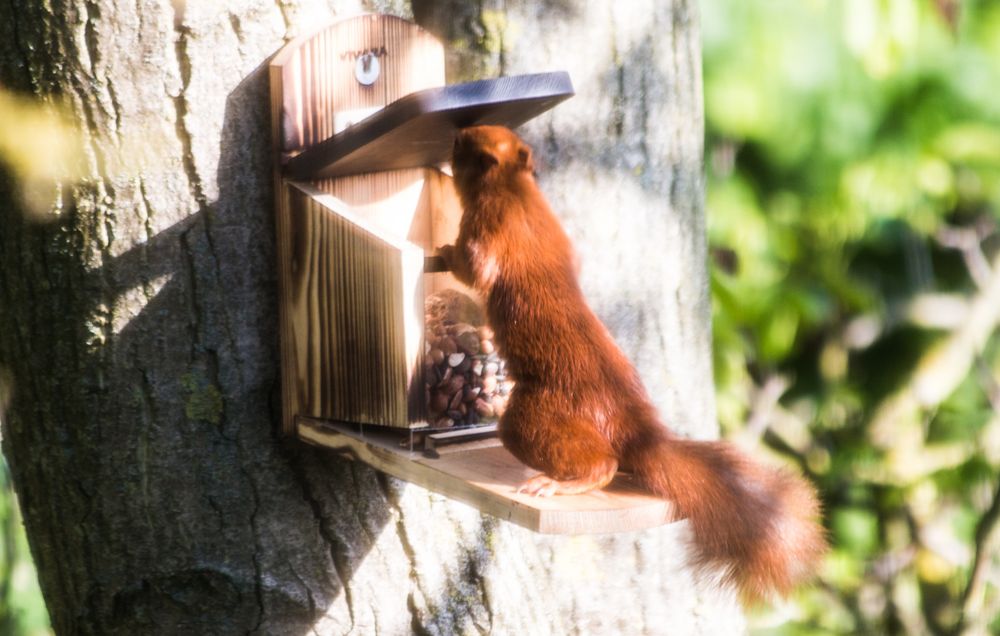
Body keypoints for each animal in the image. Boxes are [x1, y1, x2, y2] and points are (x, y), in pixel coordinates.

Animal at [438, 124, 828, 600]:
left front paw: (442, 251)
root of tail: (630, 423)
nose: (453, 136)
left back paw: (558, 482)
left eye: (465, 144)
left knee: (602, 464)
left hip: (537, 416)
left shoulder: (488, 227)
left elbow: (473, 268)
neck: (517, 190)